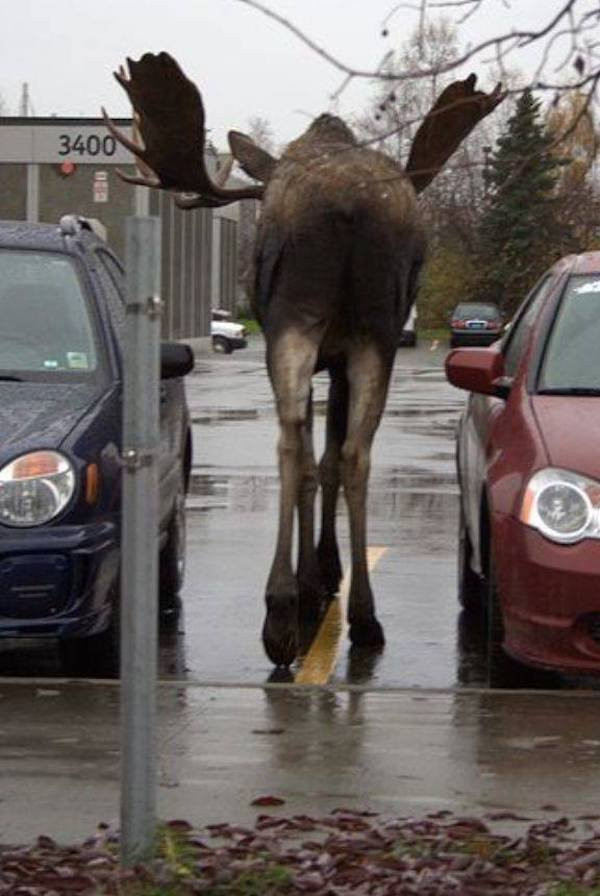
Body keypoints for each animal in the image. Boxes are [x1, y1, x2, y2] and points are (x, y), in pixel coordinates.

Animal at [104, 54, 506, 664]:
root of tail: (347, 205)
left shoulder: (320, 348)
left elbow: (315, 459)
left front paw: (312, 582)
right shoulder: (339, 356)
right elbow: (333, 457)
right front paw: (326, 574)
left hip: (293, 322)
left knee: (291, 443)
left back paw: (280, 613)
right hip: (374, 332)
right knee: (356, 453)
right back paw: (364, 617)